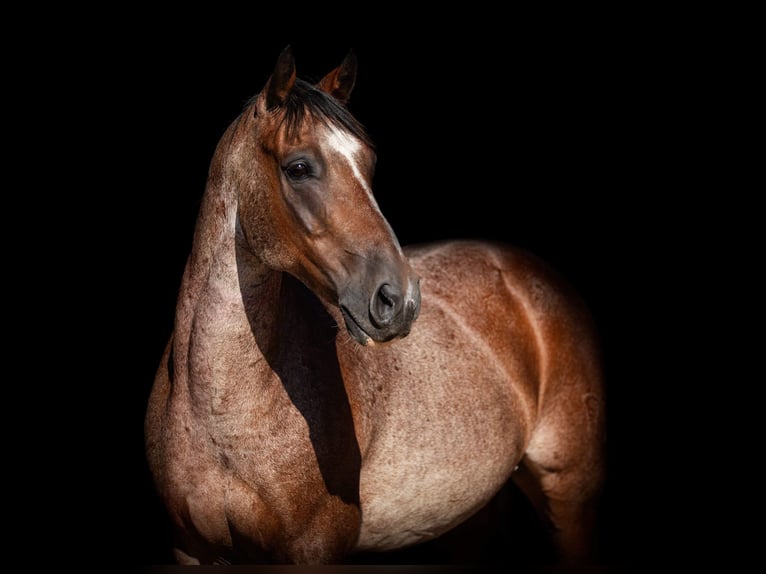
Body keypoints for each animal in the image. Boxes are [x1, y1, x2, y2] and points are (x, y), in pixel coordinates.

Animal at [145, 45, 606, 566]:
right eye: (298, 167)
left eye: (367, 164)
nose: (399, 299)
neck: (221, 416)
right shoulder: (191, 549)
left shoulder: (313, 552)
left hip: (569, 500)